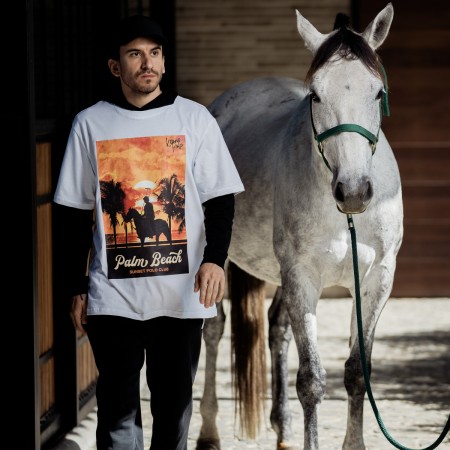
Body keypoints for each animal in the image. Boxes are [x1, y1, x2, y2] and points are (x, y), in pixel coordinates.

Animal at [195, 3, 402, 450]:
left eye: (377, 92)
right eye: (316, 94)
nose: (354, 191)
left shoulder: (377, 279)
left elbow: (357, 372)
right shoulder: (301, 276)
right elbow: (311, 380)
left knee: (277, 331)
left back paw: (284, 430)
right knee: (214, 329)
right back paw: (208, 432)